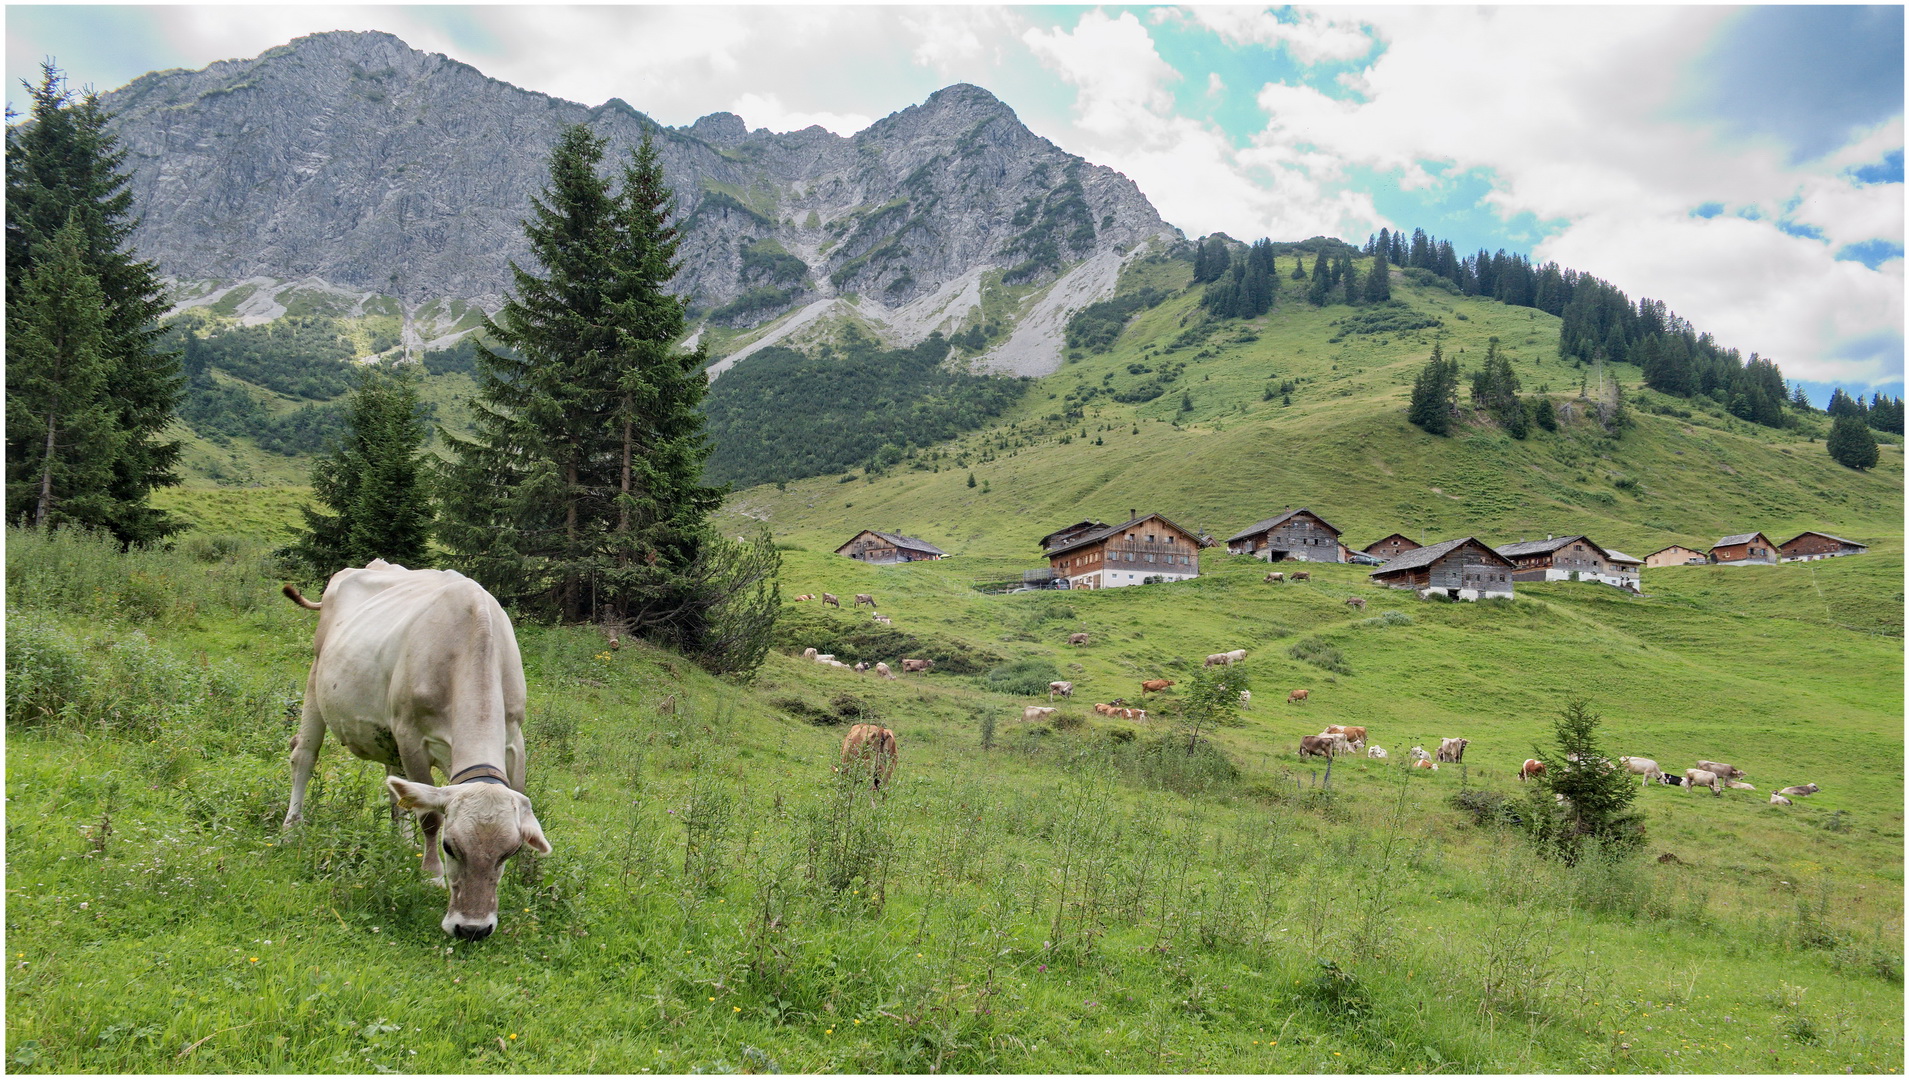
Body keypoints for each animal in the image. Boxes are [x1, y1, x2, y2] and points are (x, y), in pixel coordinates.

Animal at [282, 564, 553, 942]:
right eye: (449, 846)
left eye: (507, 852)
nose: (473, 929)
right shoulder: (411, 737)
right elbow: (430, 818)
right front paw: (431, 874)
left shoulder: (515, 739)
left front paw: (528, 872)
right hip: (317, 678)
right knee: (304, 755)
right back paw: (292, 825)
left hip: (388, 733)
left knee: (397, 788)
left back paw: (403, 843)